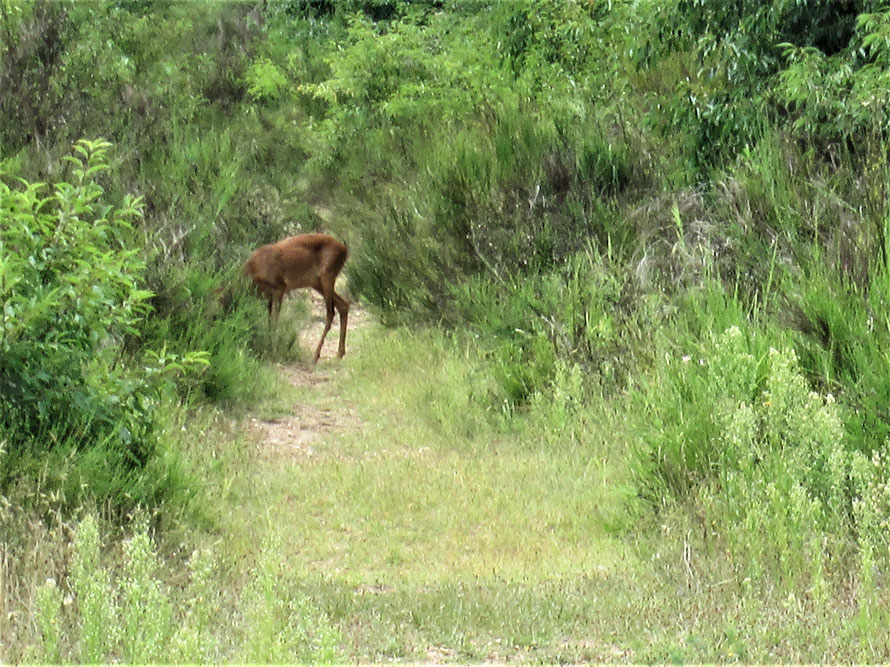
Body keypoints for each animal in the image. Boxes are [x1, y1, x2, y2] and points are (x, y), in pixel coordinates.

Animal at [238, 232, 352, 362]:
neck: (255, 267)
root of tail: (344, 248)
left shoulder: (279, 288)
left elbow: (275, 321)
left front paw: (273, 351)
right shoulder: (269, 295)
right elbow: (269, 321)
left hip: (327, 277)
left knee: (331, 313)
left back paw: (316, 355)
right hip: (316, 283)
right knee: (343, 305)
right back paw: (339, 353)